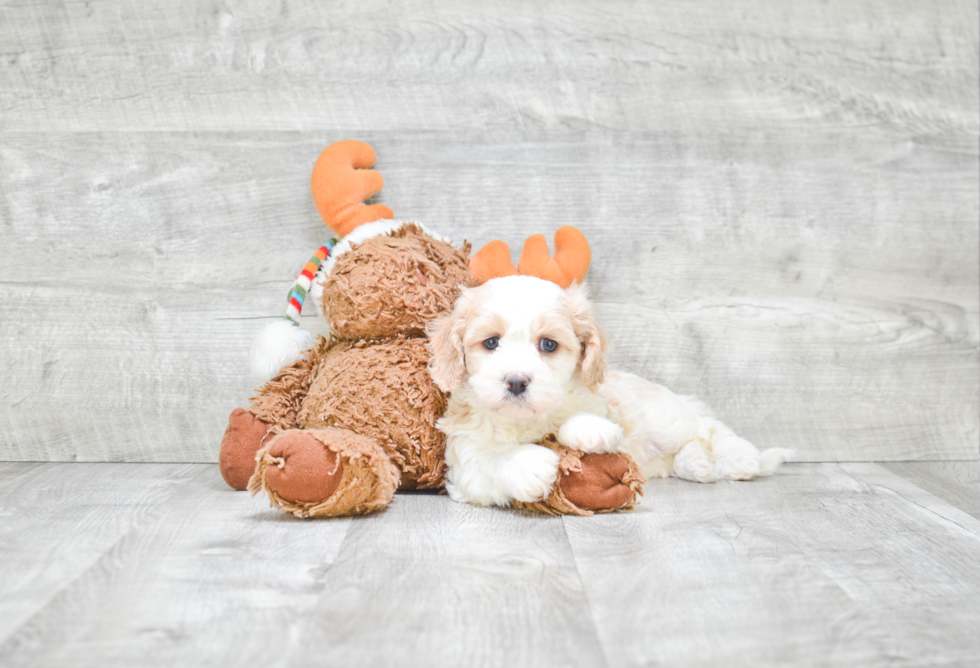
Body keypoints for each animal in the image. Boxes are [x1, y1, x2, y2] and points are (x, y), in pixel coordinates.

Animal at [426, 276, 788, 506]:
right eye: (491, 342)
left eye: (548, 344)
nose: (516, 381)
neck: (527, 421)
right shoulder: (463, 462)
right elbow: (490, 462)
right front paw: (530, 465)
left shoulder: (604, 403)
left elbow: (587, 413)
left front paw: (589, 429)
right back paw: (698, 464)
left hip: (664, 419)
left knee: (706, 426)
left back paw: (740, 457)